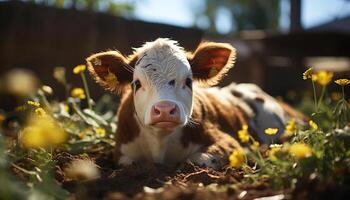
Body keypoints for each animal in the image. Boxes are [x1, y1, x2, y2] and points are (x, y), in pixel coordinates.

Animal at [86, 38, 300, 169]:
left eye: (188, 81)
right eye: (137, 83)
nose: (165, 109)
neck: (160, 144)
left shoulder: (228, 142)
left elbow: (199, 159)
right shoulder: (122, 154)